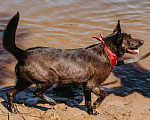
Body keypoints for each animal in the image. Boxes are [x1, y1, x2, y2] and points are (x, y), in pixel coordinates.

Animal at [2, 12, 144, 115]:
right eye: (130, 39)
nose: (142, 41)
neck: (108, 51)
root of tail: (23, 53)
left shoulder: (86, 85)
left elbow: (88, 101)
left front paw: (91, 112)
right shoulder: (92, 84)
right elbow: (104, 95)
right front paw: (97, 104)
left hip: (24, 80)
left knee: (10, 93)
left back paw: (13, 109)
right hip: (50, 78)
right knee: (36, 92)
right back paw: (51, 102)